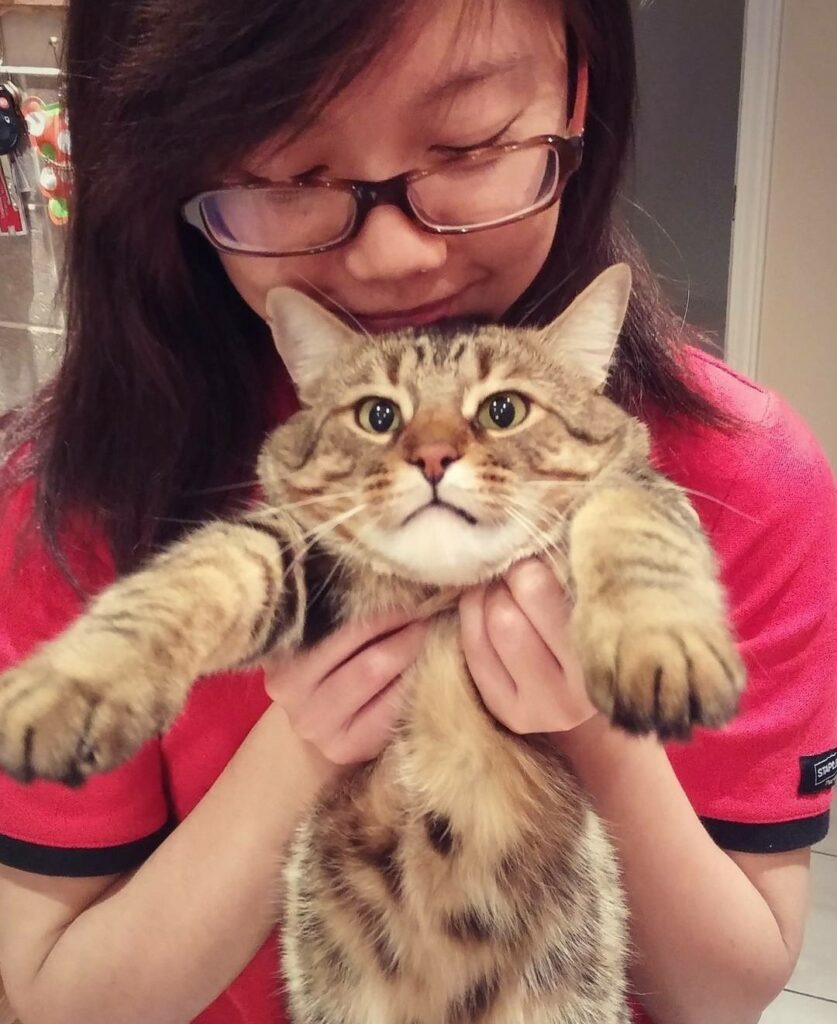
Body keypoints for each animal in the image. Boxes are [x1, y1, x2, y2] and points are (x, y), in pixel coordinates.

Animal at [0, 266, 745, 1024]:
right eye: (378, 416)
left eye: (503, 410)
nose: (433, 457)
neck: (440, 593)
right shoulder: (294, 559)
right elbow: (198, 573)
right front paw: (73, 682)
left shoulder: (638, 493)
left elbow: (633, 532)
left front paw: (658, 643)